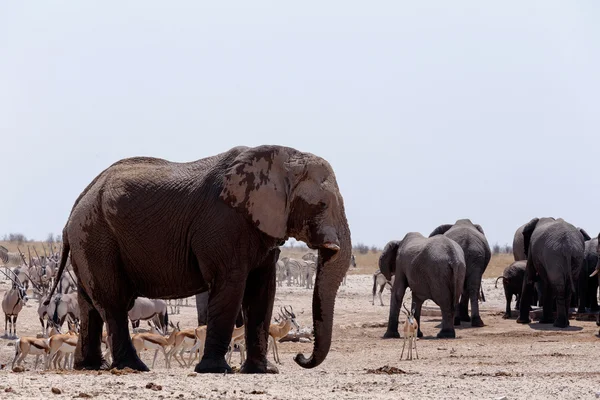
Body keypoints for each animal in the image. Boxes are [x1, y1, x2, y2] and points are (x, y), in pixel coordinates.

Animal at [45, 145, 352, 374]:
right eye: (322, 204)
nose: (300, 357)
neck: (283, 159)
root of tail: (76, 204)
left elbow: (263, 290)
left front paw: (262, 371)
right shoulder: (223, 224)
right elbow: (230, 286)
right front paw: (216, 370)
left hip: (88, 239)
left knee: (90, 304)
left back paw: (91, 367)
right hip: (97, 236)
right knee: (113, 302)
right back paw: (134, 367)